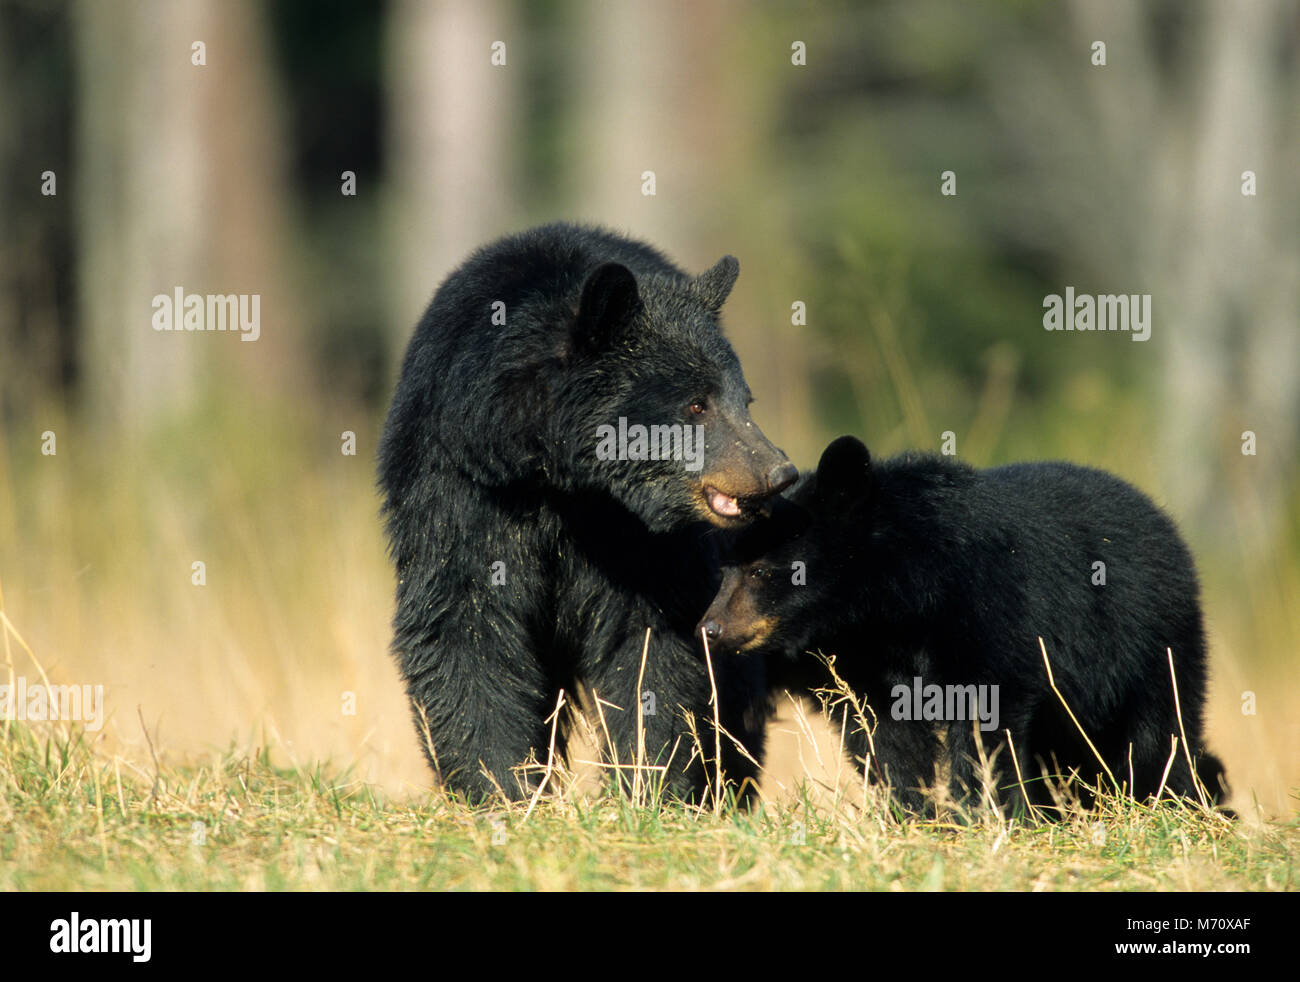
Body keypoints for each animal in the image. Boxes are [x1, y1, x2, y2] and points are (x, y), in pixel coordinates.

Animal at [377, 225, 790, 806]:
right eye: (696, 403)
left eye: (744, 400)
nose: (779, 472)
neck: (561, 481)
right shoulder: (463, 487)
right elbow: (466, 621)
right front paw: (499, 787)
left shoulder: (644, 540)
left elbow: (649, 642)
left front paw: (650, 783)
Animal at [702, 437, 1227, 816]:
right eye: (724, 569)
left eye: (762, 571)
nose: (710, 628)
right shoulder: (864, 663)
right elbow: (885, 739)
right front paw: (914, 814)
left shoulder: (990, 614)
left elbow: (983, 720)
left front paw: (981, 812)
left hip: (1148, 645)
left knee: (1160, 732)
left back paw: (1174, 803)